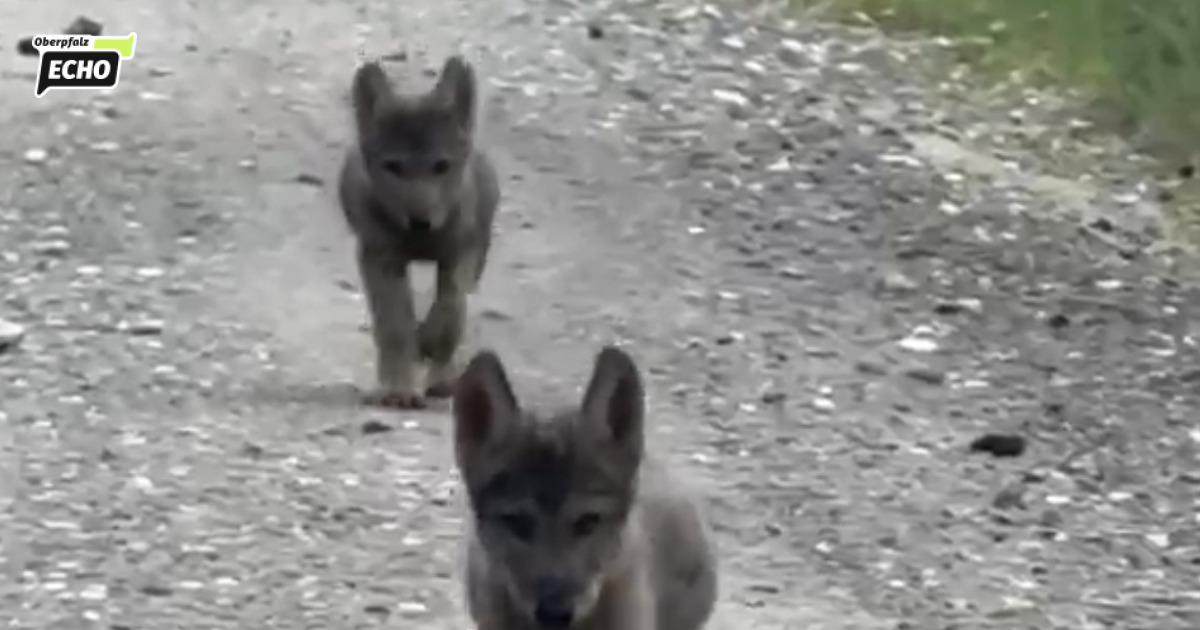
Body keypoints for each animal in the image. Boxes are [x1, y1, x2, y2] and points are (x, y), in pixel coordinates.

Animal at [337, 55, 500, 409]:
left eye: (441, 166)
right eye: (393, 167)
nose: (420, 221)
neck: (421, 243)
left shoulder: (459, 254)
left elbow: (450, 311)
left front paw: (433, 359)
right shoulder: (380, 258)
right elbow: (394, 327)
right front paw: (398, 389)